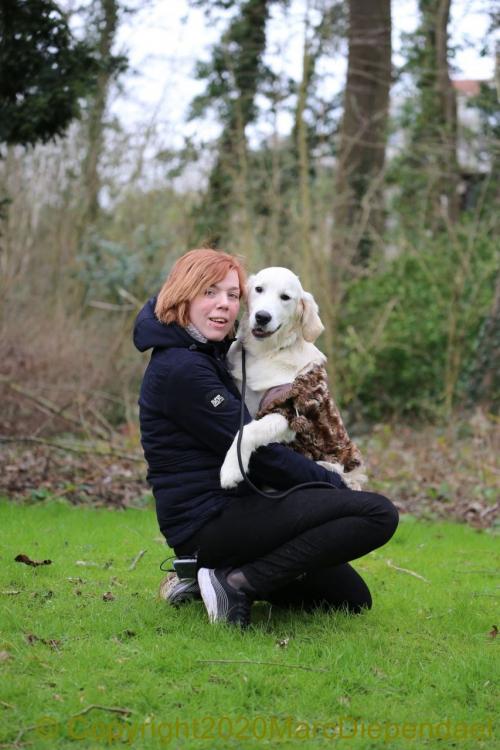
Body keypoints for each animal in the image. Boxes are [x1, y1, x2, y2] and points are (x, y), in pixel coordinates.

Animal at [221, 268, 366, 490]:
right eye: (259, 289)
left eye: (285, 297)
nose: (262, 317)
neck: (265, 353)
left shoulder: (287, 412)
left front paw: (231, 470)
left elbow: (249, 430)